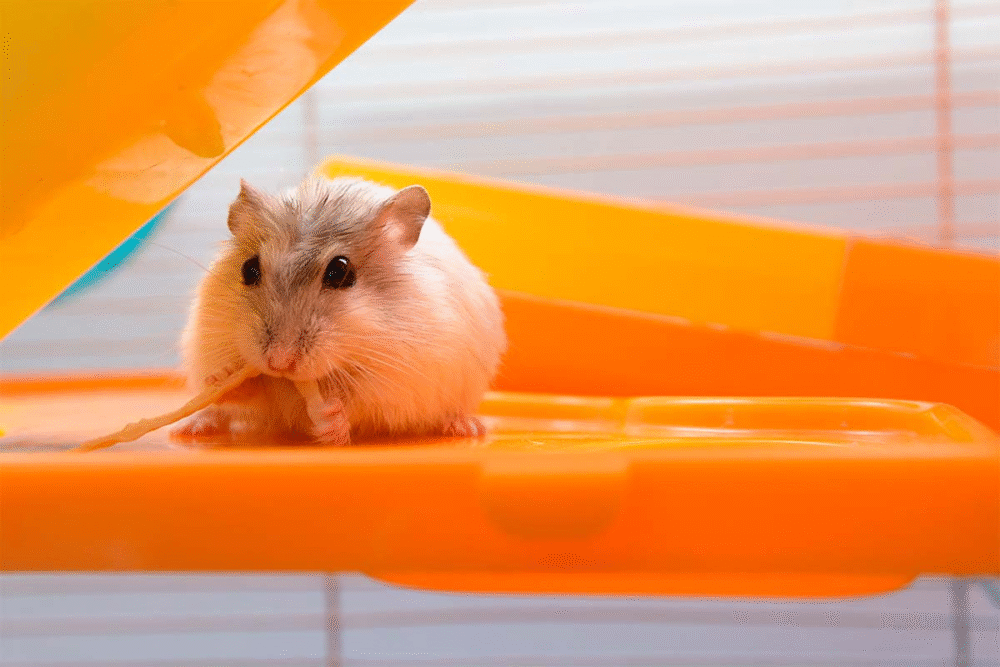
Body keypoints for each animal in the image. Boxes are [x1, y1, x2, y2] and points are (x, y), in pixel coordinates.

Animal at [173, 175, 507, 445]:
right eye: (248, 269)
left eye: (340, 272)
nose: (279, 362)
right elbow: (250, 390)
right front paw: (223, 377)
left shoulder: (398, 380)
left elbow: (358, 403)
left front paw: (331, 422)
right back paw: (191, 427)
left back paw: (466, 427)